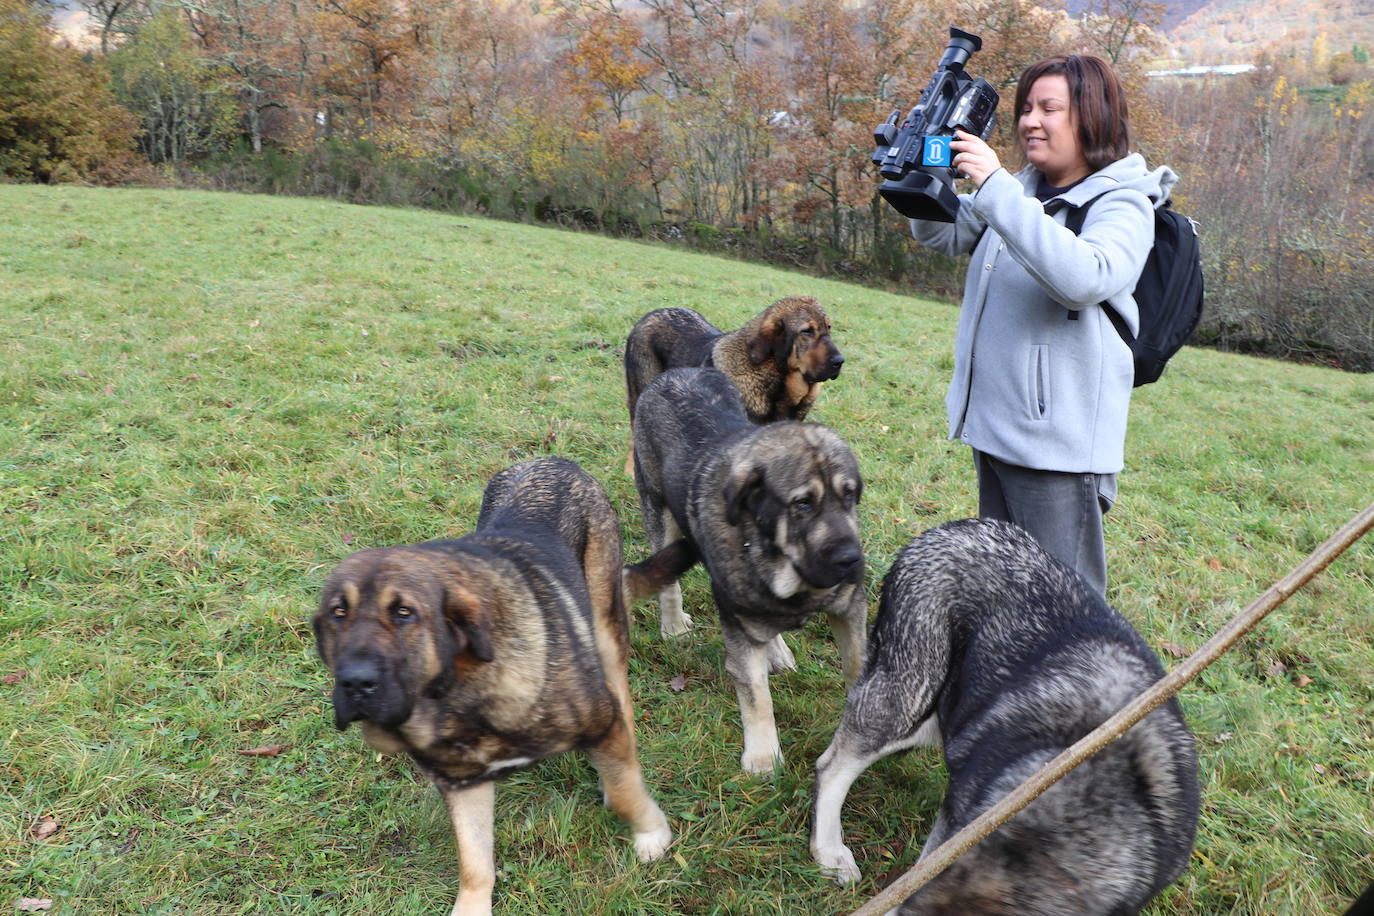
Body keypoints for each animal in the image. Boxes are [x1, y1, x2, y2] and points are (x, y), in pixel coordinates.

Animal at [316, 458, 670, 916]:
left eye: (404, 613)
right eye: (337, 613)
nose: (355, 682)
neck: (459, 696)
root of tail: (552, 460)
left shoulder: (599, 722)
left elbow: (625, 791)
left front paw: (651, 833)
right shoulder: (462, 783)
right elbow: (474, 860)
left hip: (605, 619)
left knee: (620, 695)